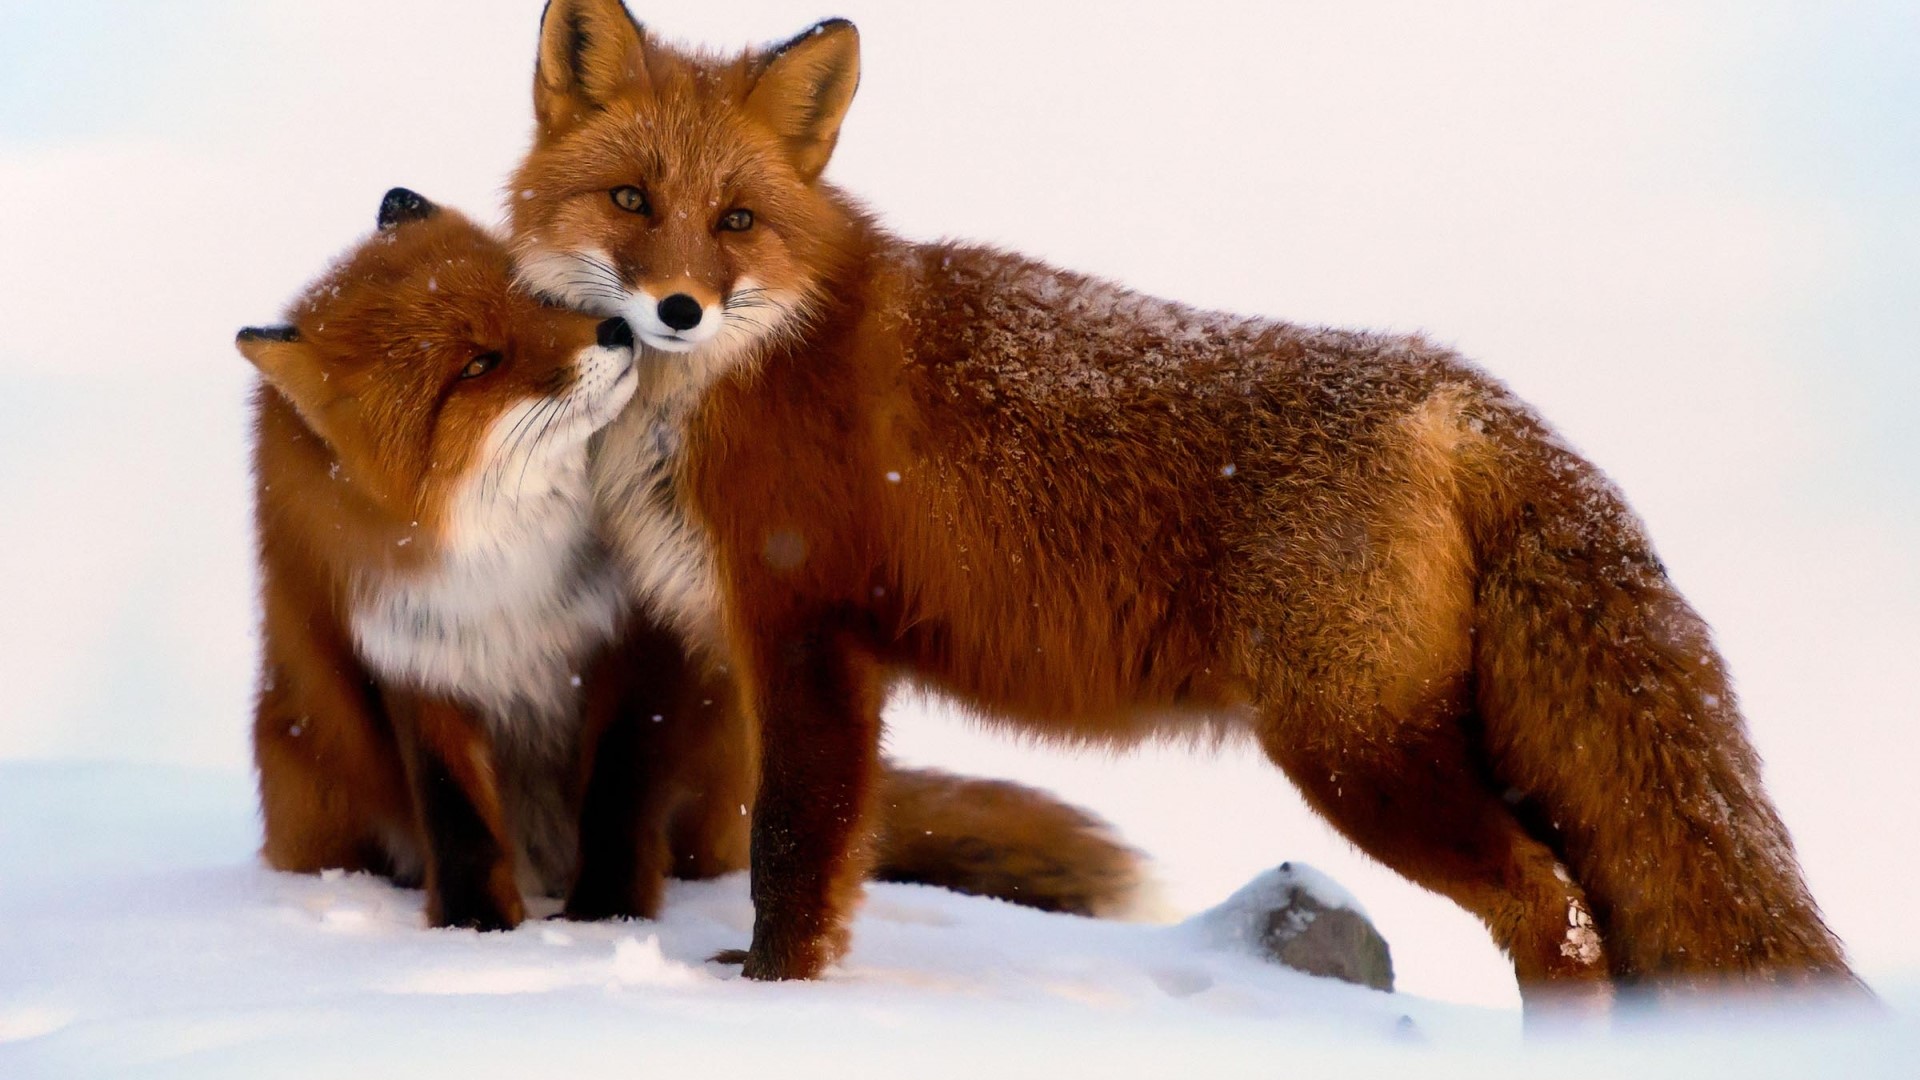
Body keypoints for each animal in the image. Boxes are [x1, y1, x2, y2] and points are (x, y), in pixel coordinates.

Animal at [239, 188, 1143, 931]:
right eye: (477, 364)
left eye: (535, 296)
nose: (615, 329)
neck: (512, 566)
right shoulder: (420, 659)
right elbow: (457, 823)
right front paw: (478, 936)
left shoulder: (641, 641)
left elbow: (620, 794)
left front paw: (605, 923)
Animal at [505, 0, 1858, 1011]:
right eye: (632, 202)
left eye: (737, 221)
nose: (678, 308)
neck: (736, 375)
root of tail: (1458, 390)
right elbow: (813, 854)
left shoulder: (808, 633)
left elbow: (792, 851)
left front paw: (773, 1005)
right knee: (1591, 909)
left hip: (1359, 757)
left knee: (1557, 914)